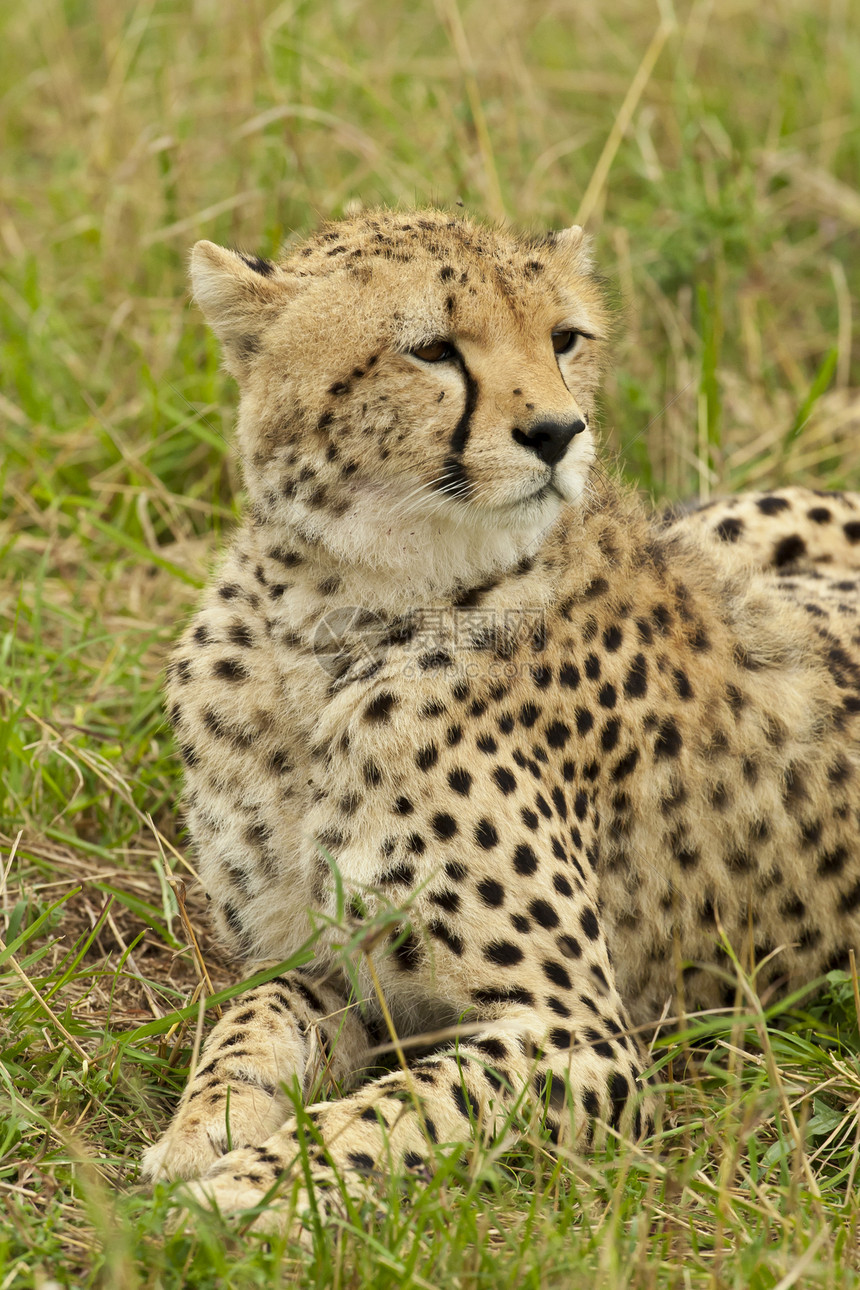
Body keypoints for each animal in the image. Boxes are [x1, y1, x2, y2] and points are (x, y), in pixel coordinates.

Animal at [144, 206, 860, 1233]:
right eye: (432, 349)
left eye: (565, 338)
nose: (559, 432)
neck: (329, 620)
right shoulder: (324, 965)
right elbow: (253, 1018)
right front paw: (204, 1130)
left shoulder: (582, 1036)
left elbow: (391, 1116)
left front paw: (246, 1193)